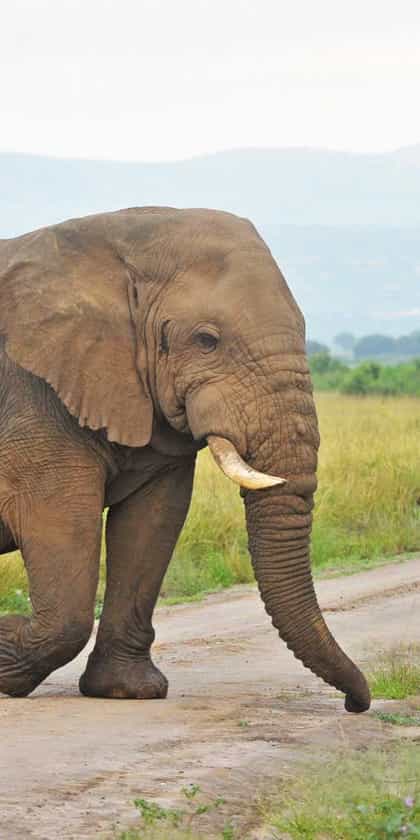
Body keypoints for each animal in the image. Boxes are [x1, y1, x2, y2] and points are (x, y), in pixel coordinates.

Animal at [0, 207, 370, 711]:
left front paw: (128, 691)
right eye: (207, 340)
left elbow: (152, 522)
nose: (356, 703)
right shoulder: (32, 397)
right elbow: (59, 524)